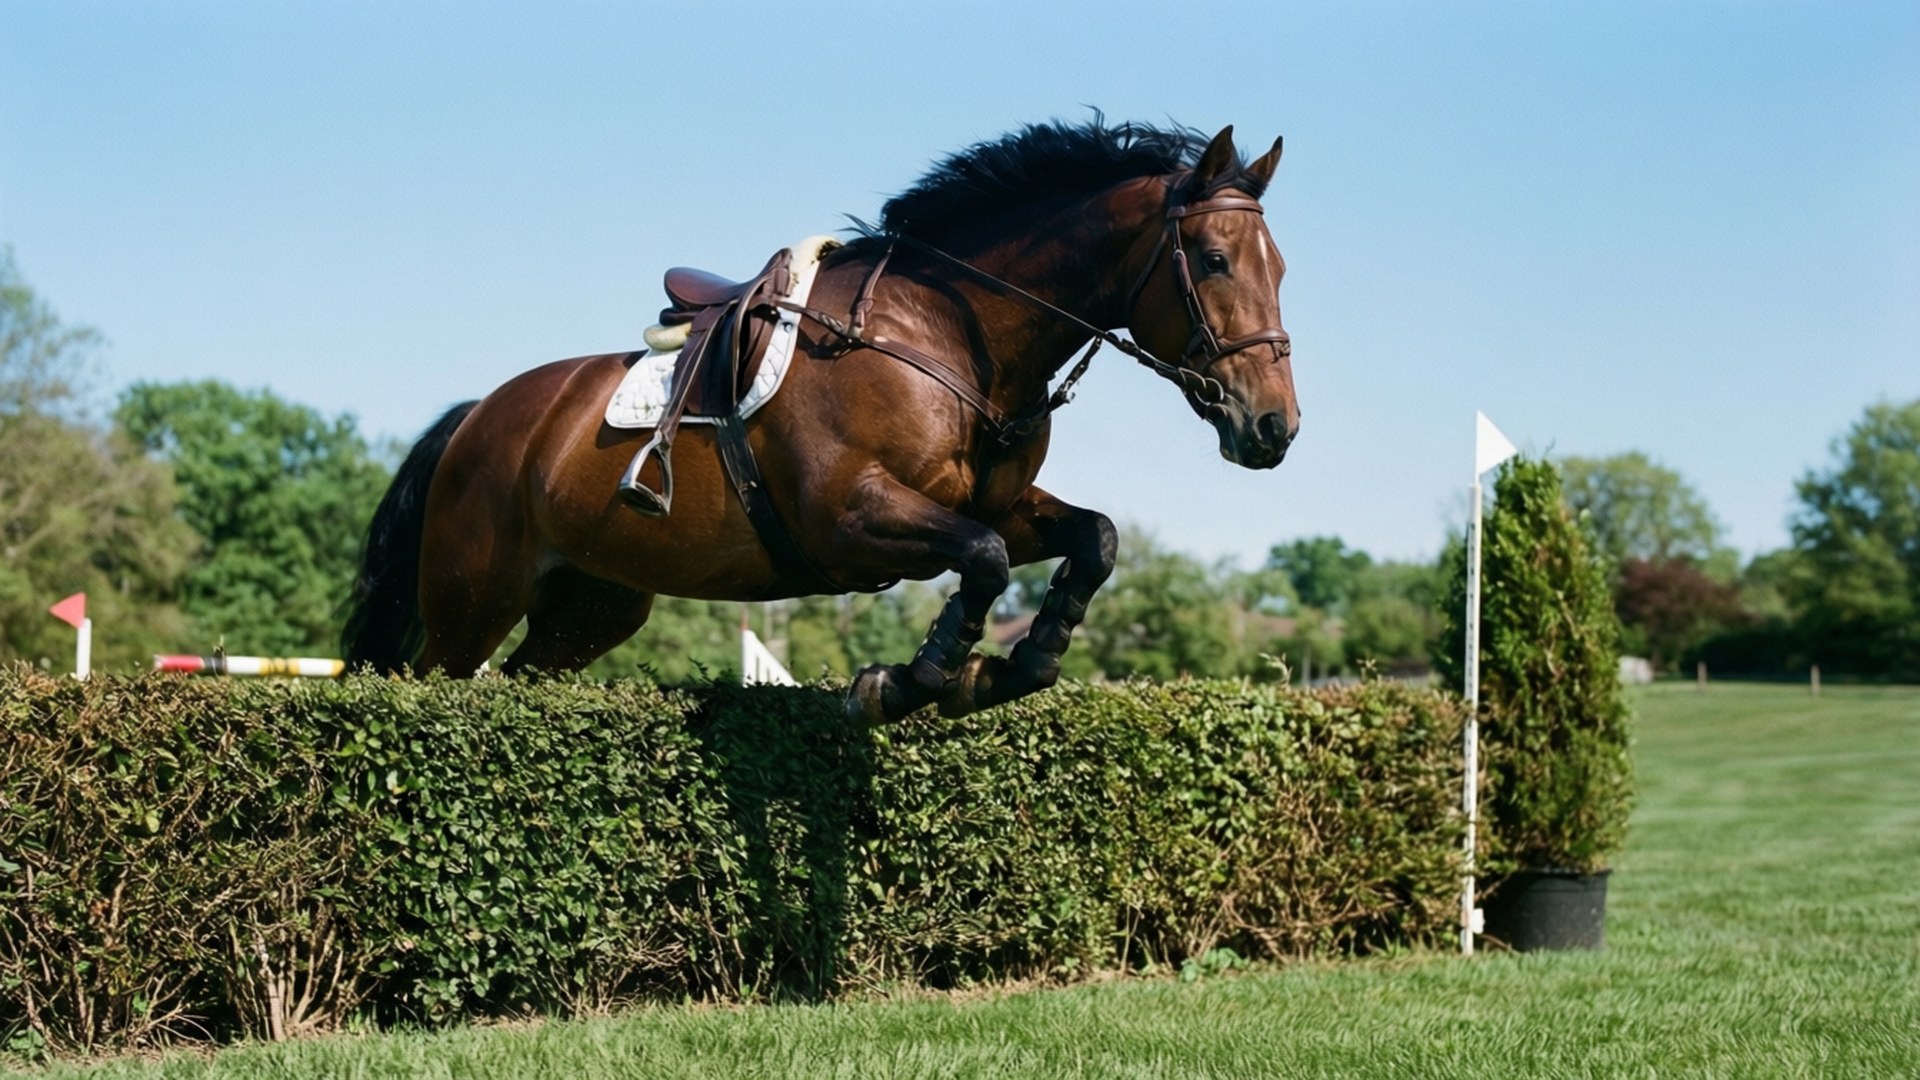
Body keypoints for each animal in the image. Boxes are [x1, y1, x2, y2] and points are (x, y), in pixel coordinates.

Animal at [342, 119, 1299, 724]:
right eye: (1214, 260)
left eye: (1280, 269)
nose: (1273, 427)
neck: (957, 339)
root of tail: (477, 417)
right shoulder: (848, 519)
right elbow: (985, 560)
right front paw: (912, 681)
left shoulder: (995, 505)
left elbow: (1092, 537)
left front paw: (1017, 665)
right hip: (473, 597)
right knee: (430, 679)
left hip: (590, 605)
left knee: (523, 677)